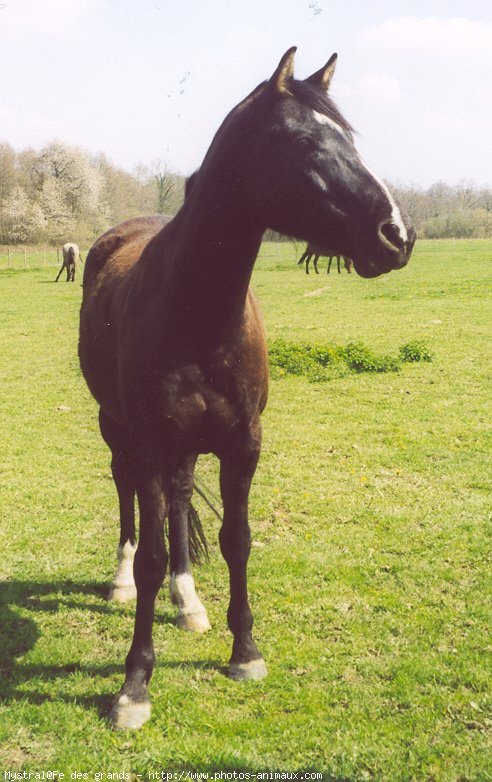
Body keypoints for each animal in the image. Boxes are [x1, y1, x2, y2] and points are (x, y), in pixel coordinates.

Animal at [78, 46, 416, 732]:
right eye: (304, 142)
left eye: (351, 138)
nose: (397, 234)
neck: (198, 312)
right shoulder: (150, 442)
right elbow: (151, 553)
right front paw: (134, 686)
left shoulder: (243, 444)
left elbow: (236, 541)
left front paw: (245, 651)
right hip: (117, 429)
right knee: (127, 497)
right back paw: (122, 581)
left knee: (180, 502)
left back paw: (188, 602)